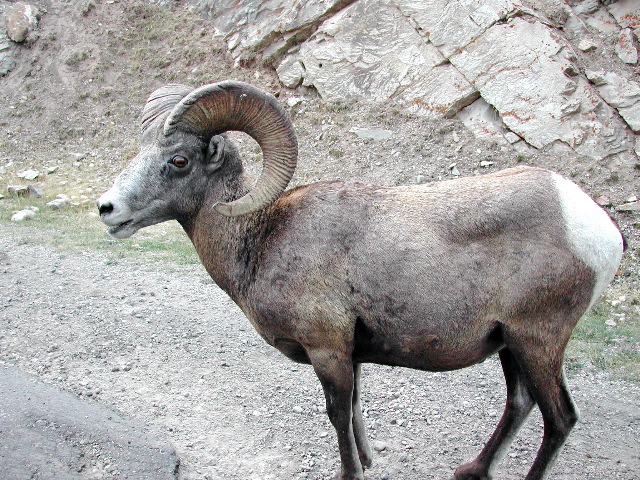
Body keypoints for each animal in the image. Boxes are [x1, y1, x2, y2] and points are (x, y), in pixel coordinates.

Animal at [97, 81, 624, 480]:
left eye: (179, 160)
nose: (107, 209)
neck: (261, 237)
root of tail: (596, 225)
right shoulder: (351, 352)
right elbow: (354, 410)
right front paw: (369, 461)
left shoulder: (327, 348)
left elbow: (336, 412)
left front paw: (350, 473)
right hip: (511, 344)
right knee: (520, 404)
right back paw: (471, 471)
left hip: (537, 339)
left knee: (559, 419)